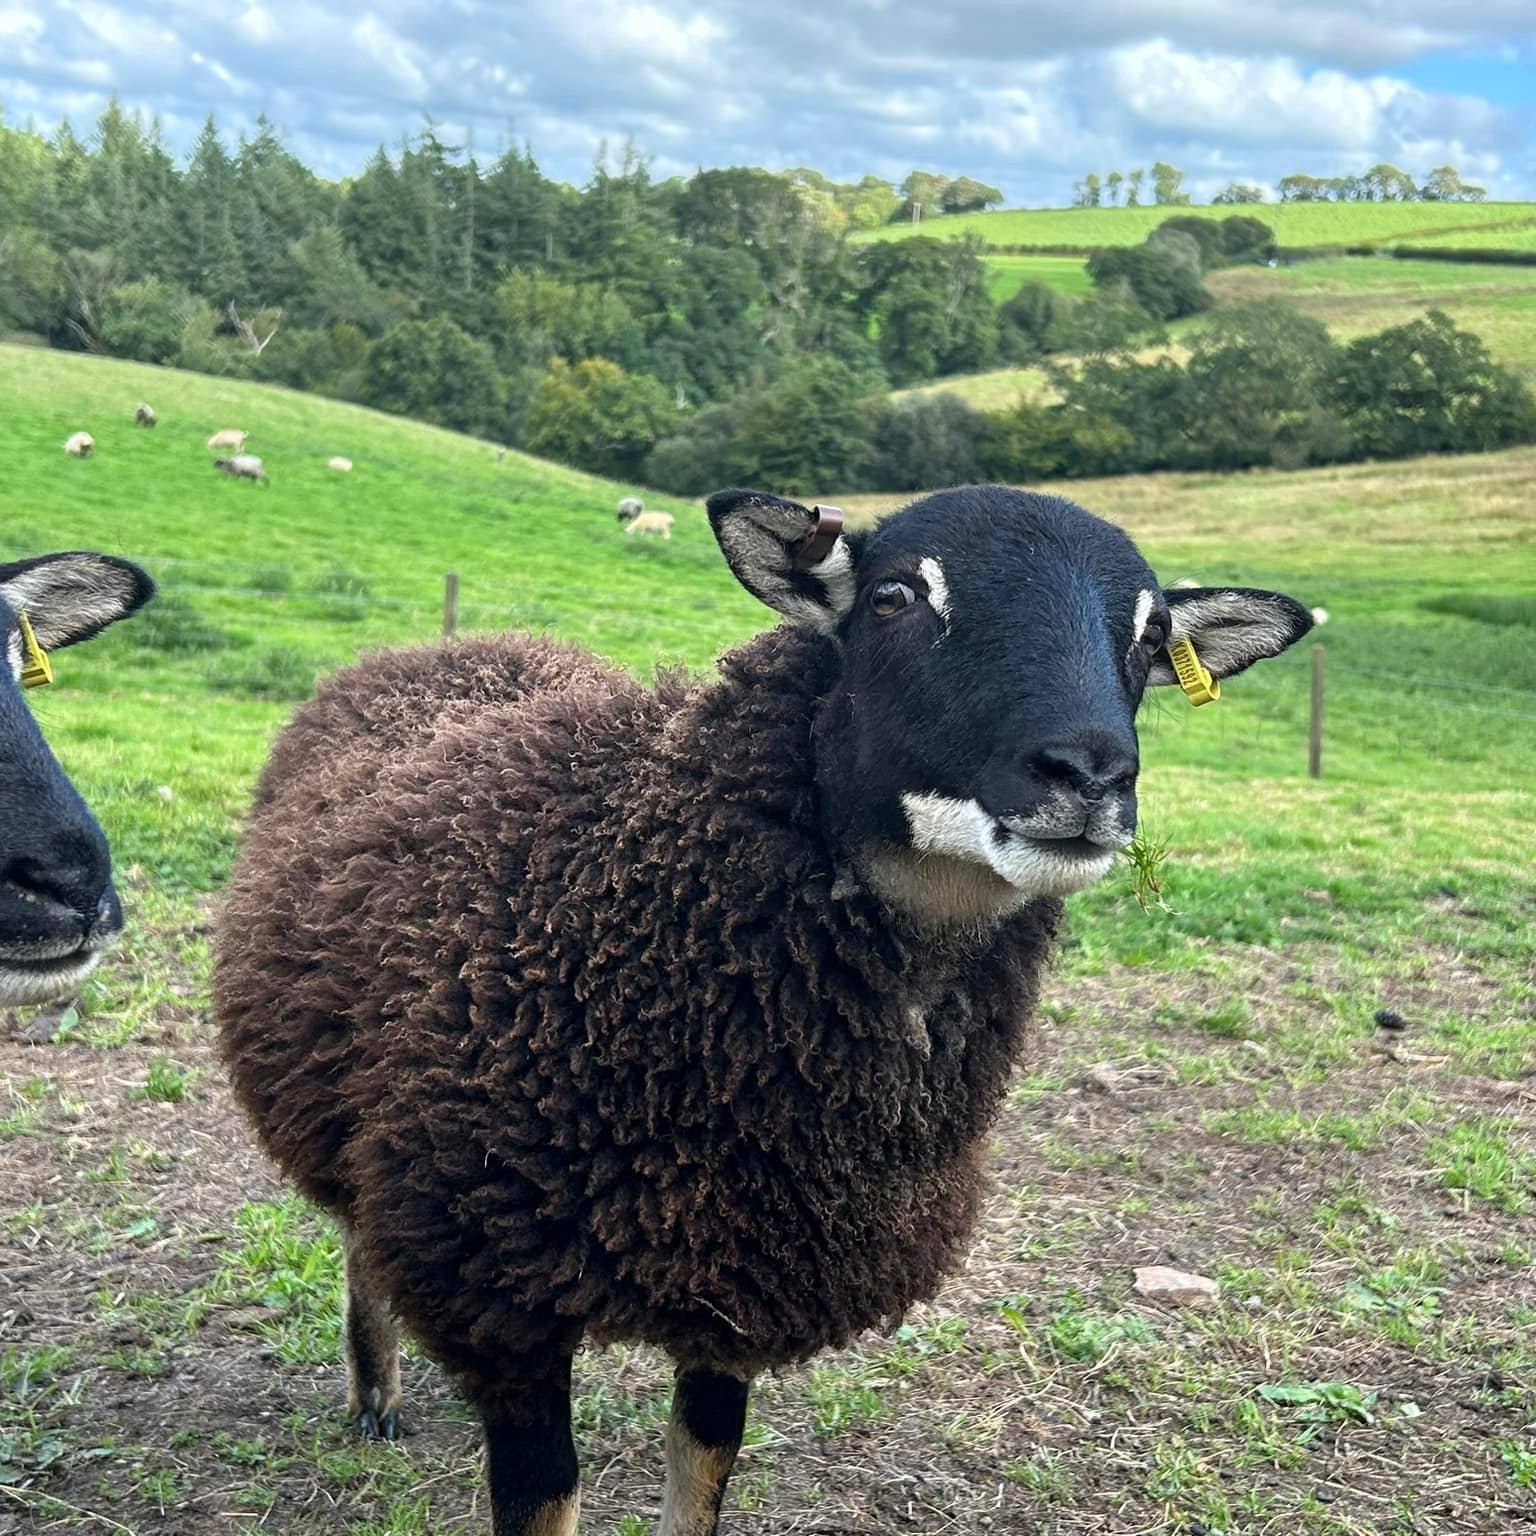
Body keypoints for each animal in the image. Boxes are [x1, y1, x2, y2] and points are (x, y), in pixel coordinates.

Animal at [214, 485, 1313, 1536]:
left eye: (1149, 638)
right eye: (894, 598)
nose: (1090, 775)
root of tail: (451, 645)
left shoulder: (750, 1271)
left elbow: (704, 1470)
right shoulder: (500, 1282)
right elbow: (547, 1496)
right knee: (360, 1240)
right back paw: (376, 1397)